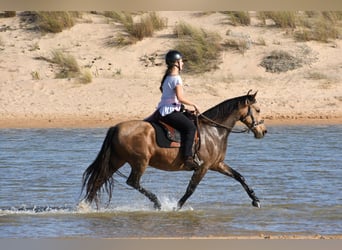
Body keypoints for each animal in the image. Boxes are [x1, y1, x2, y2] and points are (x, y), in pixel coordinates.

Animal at [81, 91, 268, 210]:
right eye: (258, 110)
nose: (263, 131)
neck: (214, 130)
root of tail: (116, 127)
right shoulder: (203, 167)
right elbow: (190, 189)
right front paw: (176, 207)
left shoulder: (217, 164)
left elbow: (239, 177)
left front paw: (256, 200)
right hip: (139, 162)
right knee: (132, 182)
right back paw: (157, 203)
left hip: (117, 160)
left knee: (99, 180)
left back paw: (84, 206)